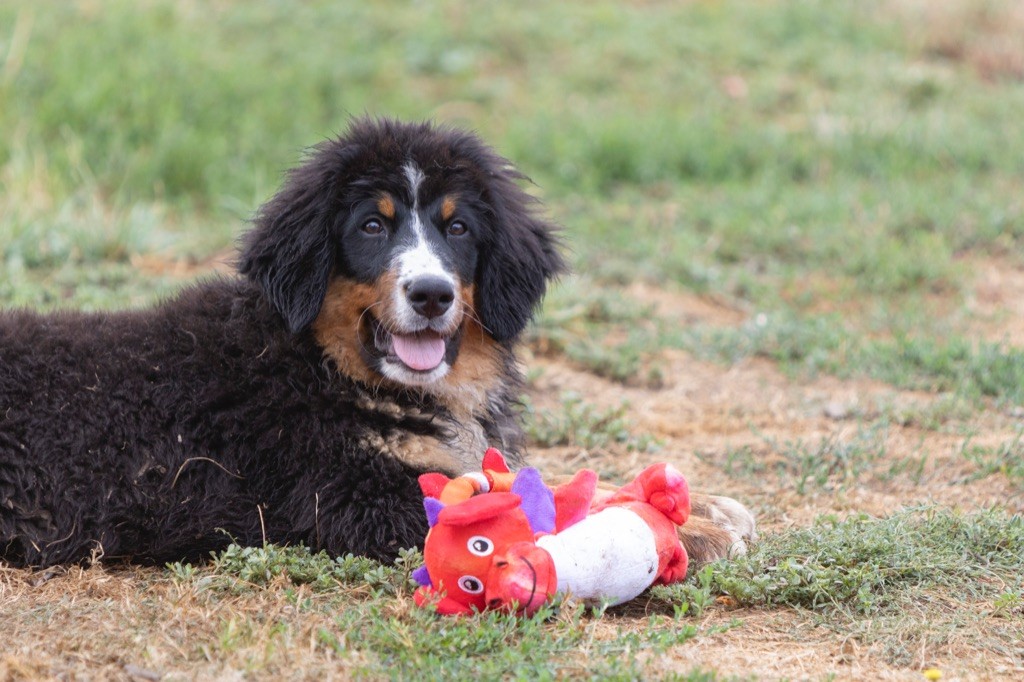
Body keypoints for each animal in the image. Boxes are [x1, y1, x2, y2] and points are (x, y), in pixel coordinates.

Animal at [0, 118, 753, 569]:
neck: (328, 366)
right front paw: (694, 534)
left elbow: (549, 486)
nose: (431, 295)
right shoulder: (351, 489)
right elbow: (536, 520)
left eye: (458, 228)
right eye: (370, 226)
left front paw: (703, 506)